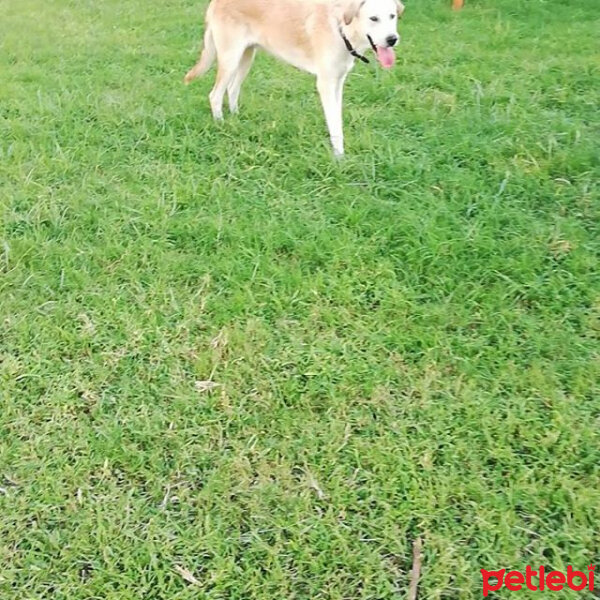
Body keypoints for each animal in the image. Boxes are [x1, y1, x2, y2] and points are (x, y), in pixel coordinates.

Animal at [183, 0, 404, 157]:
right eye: (373, 18)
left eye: (392, 16)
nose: (392, 39)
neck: (341, 28)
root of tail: (216, 2)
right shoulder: (325, 84)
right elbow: (334, 123)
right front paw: (339, 157)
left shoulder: (338, 82)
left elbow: (338, 120)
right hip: (230, 59)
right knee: (215, 95)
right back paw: (220, 124)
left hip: (246, 57)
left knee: (232, 89)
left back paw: (237, 118)